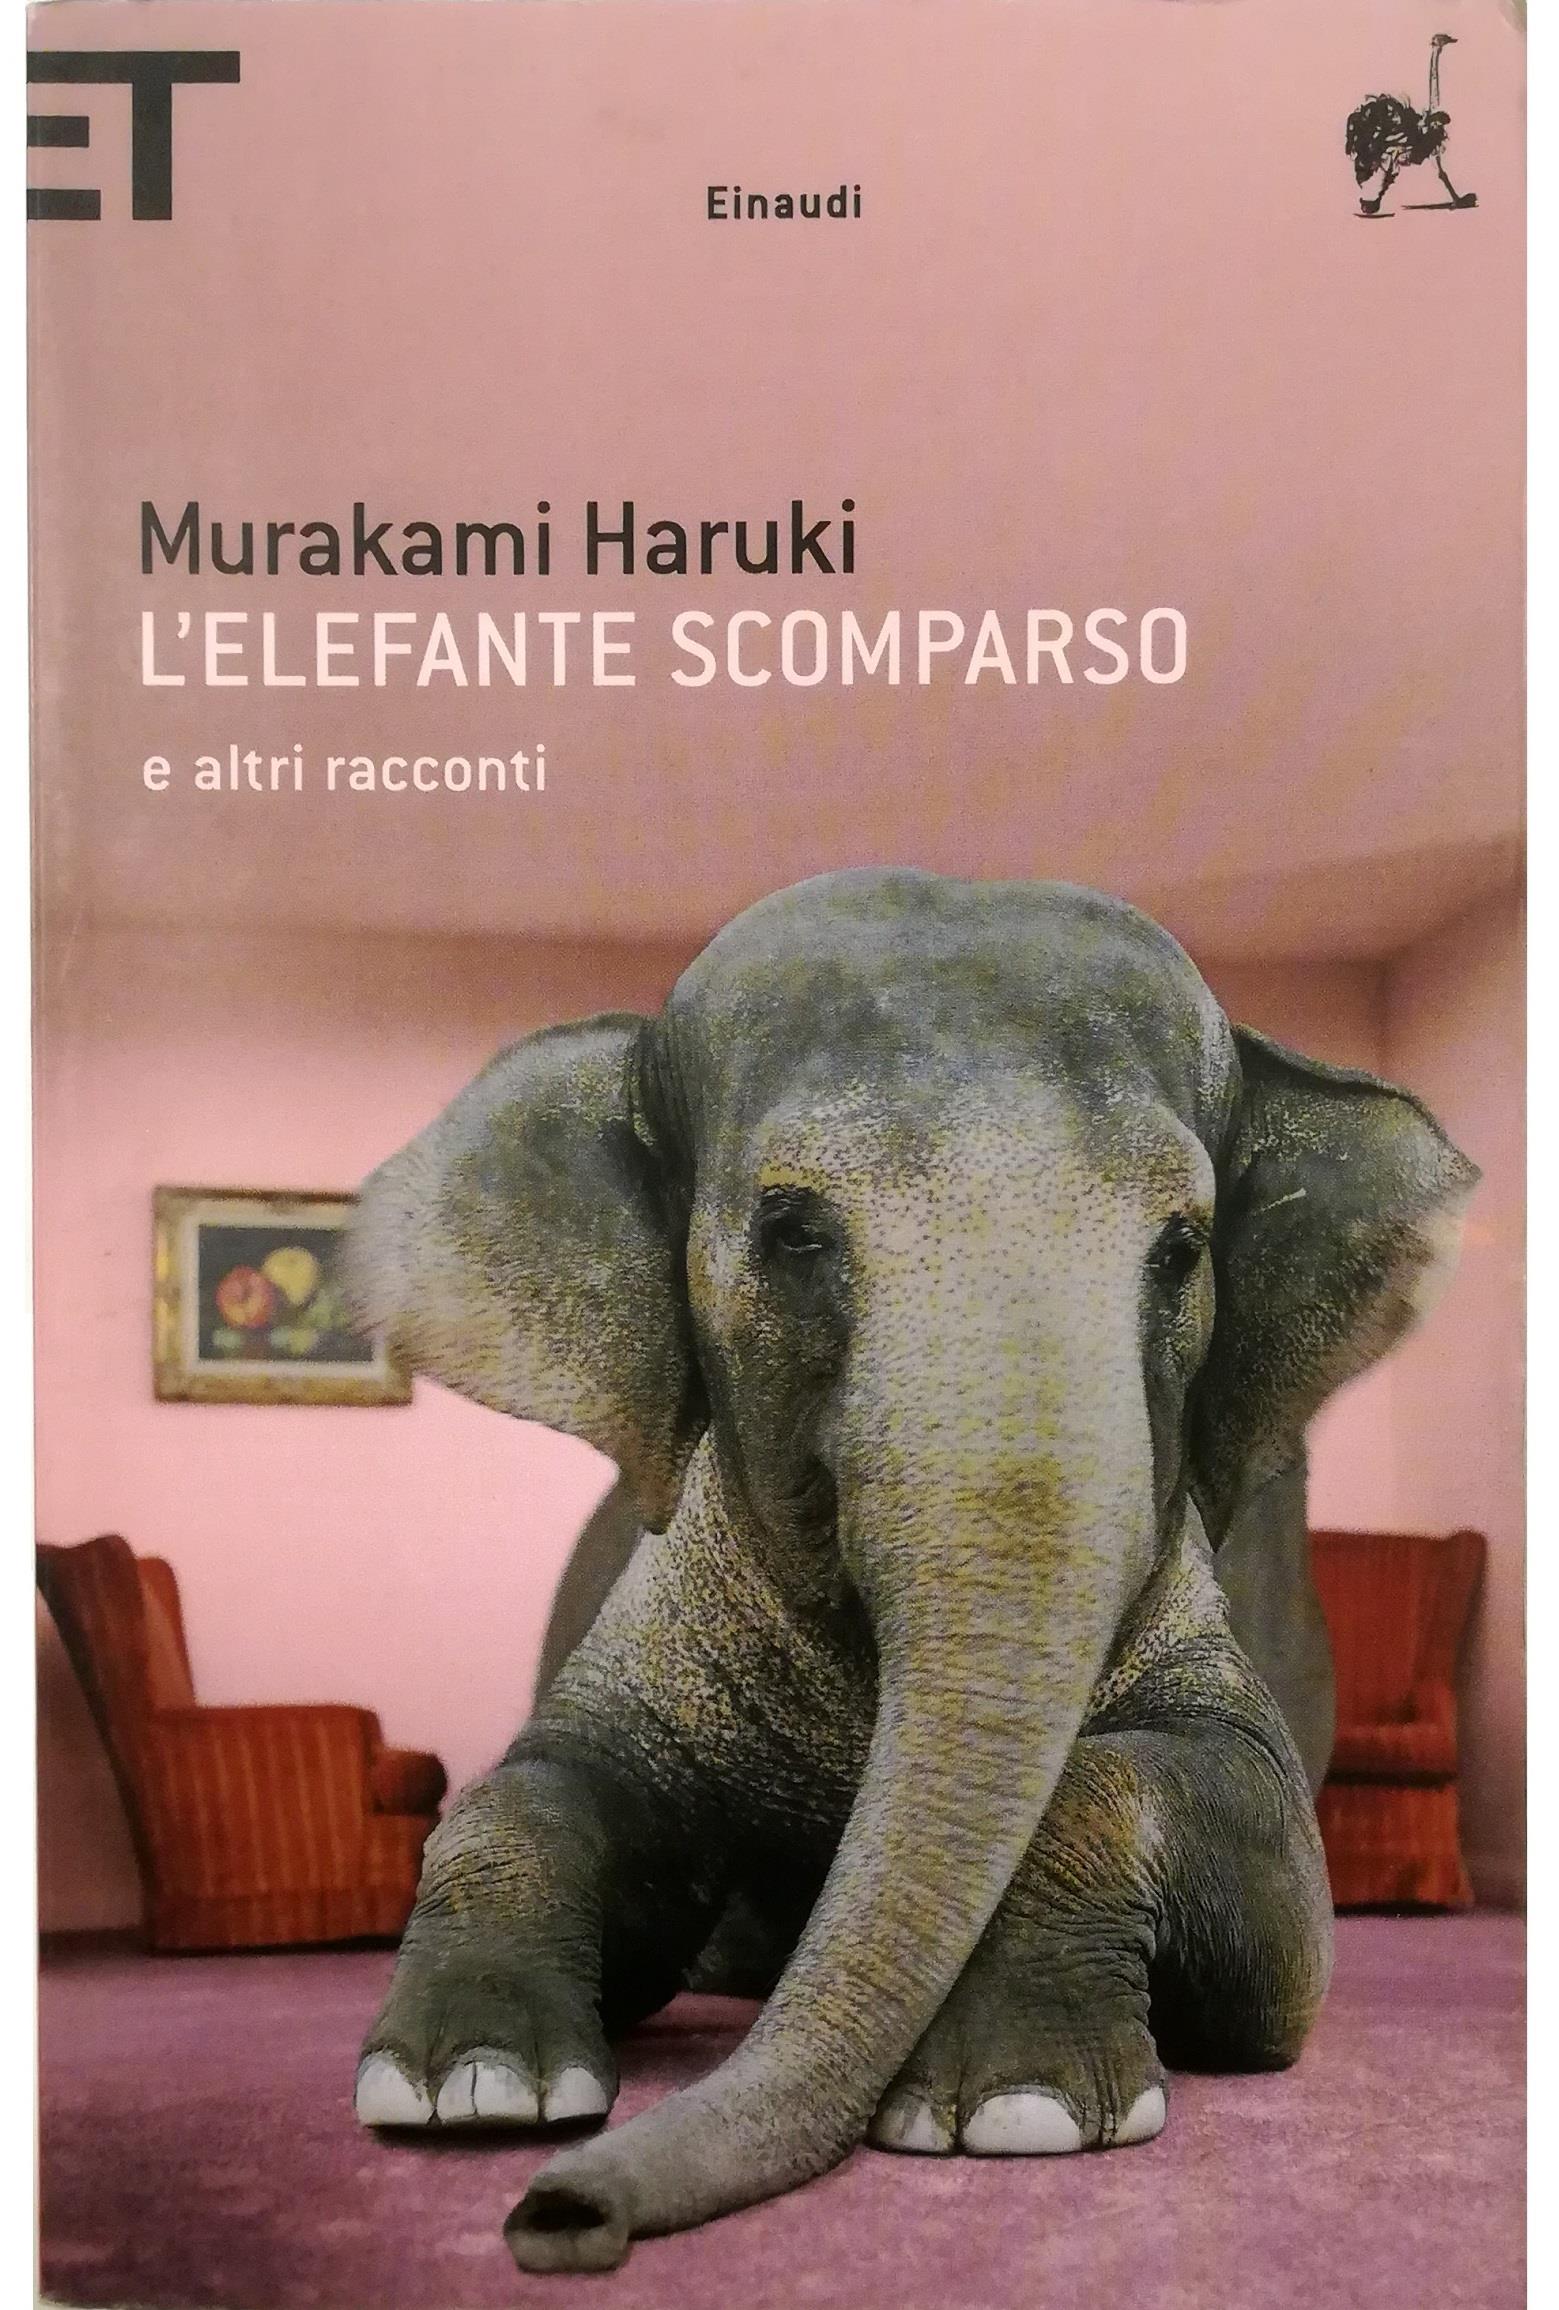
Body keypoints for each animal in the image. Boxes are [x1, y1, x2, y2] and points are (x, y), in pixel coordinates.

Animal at [345, 868, 1476, 2273]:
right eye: (788, 1229)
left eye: (1181, 1246)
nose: (555, 2218)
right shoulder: (667, 1608)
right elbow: (546, 1783)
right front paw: (469, 2090)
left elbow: (1277, 1909)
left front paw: (1015, 2110)